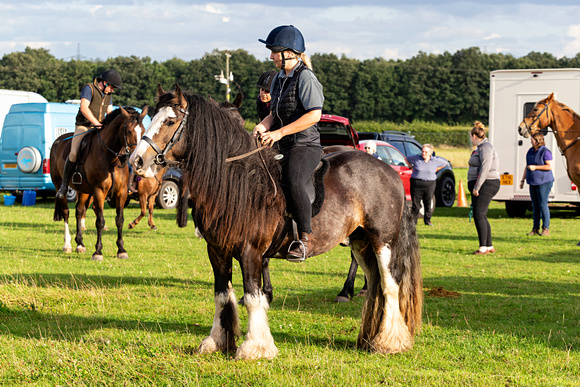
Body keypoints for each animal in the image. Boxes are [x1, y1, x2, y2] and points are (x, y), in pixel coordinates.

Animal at [50, 106, 147, 262]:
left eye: (143, 130)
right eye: (129, 131)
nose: (137, 160)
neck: (111, 158)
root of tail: (57, 141)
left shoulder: (121, 193)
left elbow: (120, 220)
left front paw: (121, 250)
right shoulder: (99, 191)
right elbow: (100, 221)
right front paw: (98, 252)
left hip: (83, 190)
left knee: (79, 211)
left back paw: (80, 244)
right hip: (60, 185)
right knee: (66, 212)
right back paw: (67, 245)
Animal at [130, 85, 422, 360]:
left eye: (170, 121)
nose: (136, 160)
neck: (238, 181)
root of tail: (390, 171)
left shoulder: (250, 252)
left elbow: (252, 296)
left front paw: (255, 347)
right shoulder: (217, 251)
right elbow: (221, 294)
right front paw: (217, 342)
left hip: (382, 241)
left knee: (390, 285)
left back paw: (389, 342)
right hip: (361, 243)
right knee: (375, 284)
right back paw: (369, 338)